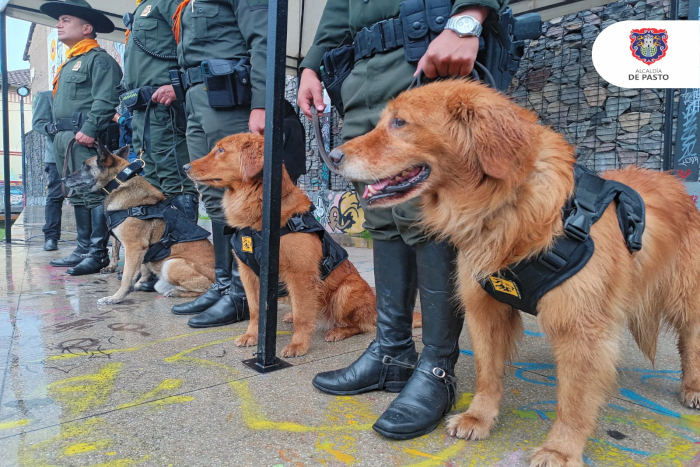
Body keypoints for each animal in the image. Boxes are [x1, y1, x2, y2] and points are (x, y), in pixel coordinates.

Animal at [64, 147, 215, 308]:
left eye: (85, 166)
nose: (63, 179)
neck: (119, 183)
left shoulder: (134, 247)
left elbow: (126, 277)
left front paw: (116, 298)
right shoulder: (142, 250)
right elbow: (141, 270)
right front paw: (138, 284)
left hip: (171, 263)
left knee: (205, 288)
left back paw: (178, 293)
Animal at [186, 135, 380, 358]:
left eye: (221, 150)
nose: (185, 167)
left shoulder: (300, 275)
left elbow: (302, 317)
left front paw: (298, 344)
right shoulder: (248, 273)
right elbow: (255, 310)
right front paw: (252, 336)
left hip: (344, 292)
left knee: (362, 325)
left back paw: (338, 331)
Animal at [326, 78, 700, 466]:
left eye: (399, 122)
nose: (332, 157)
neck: (507, 205)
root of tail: (676, 182)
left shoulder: (581, 327)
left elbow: (574, 400)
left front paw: (560, 449)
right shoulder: (485, 309)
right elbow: (488, 374)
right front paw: (479, 417)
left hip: (684, 296)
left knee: (690, 340)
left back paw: (692, 387)